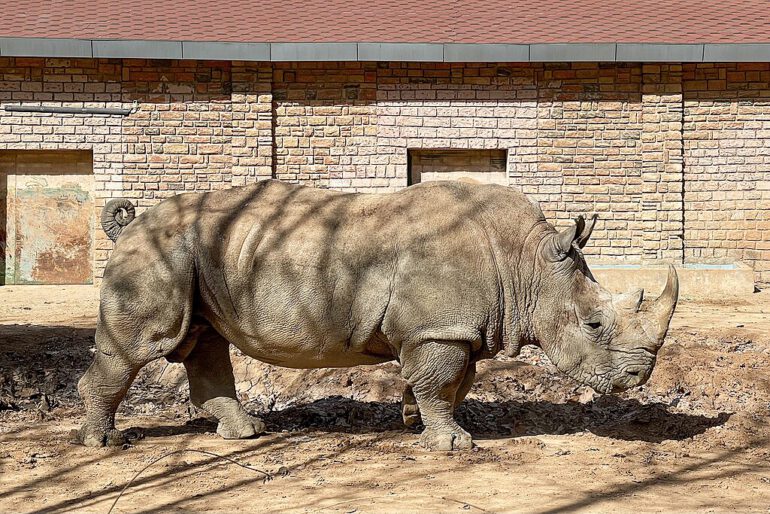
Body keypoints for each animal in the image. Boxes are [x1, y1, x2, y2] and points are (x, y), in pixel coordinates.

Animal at [77, 180, 678, 450]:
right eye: (594, 325)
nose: (638, 377)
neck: (526, 263)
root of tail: (130, 225)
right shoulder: (441, 328)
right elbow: (443, 381)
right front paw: (453, 444)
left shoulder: (450, 327)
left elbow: (453, 380)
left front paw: (414, 421)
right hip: (159, 254)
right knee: (140, 347)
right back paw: (102, 443)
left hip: (199, 255)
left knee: (203, 339)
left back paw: (246, 433)